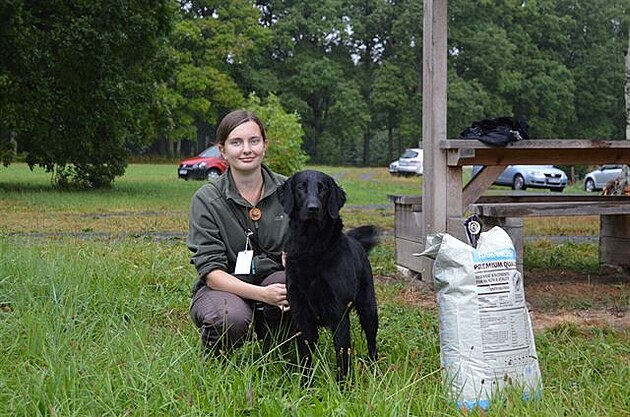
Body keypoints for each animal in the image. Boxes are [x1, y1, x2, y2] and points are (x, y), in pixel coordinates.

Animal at [278, 168, 380, 380]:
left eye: (323, 189)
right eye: (301, 187)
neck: (311, 246)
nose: (313, 208)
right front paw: (305, 384)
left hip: (368, 309)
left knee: (372, 342)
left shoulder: (338, 314)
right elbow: (305, 358)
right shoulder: (301, 314)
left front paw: (342, 386)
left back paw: (375, 369)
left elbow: (342, 358)